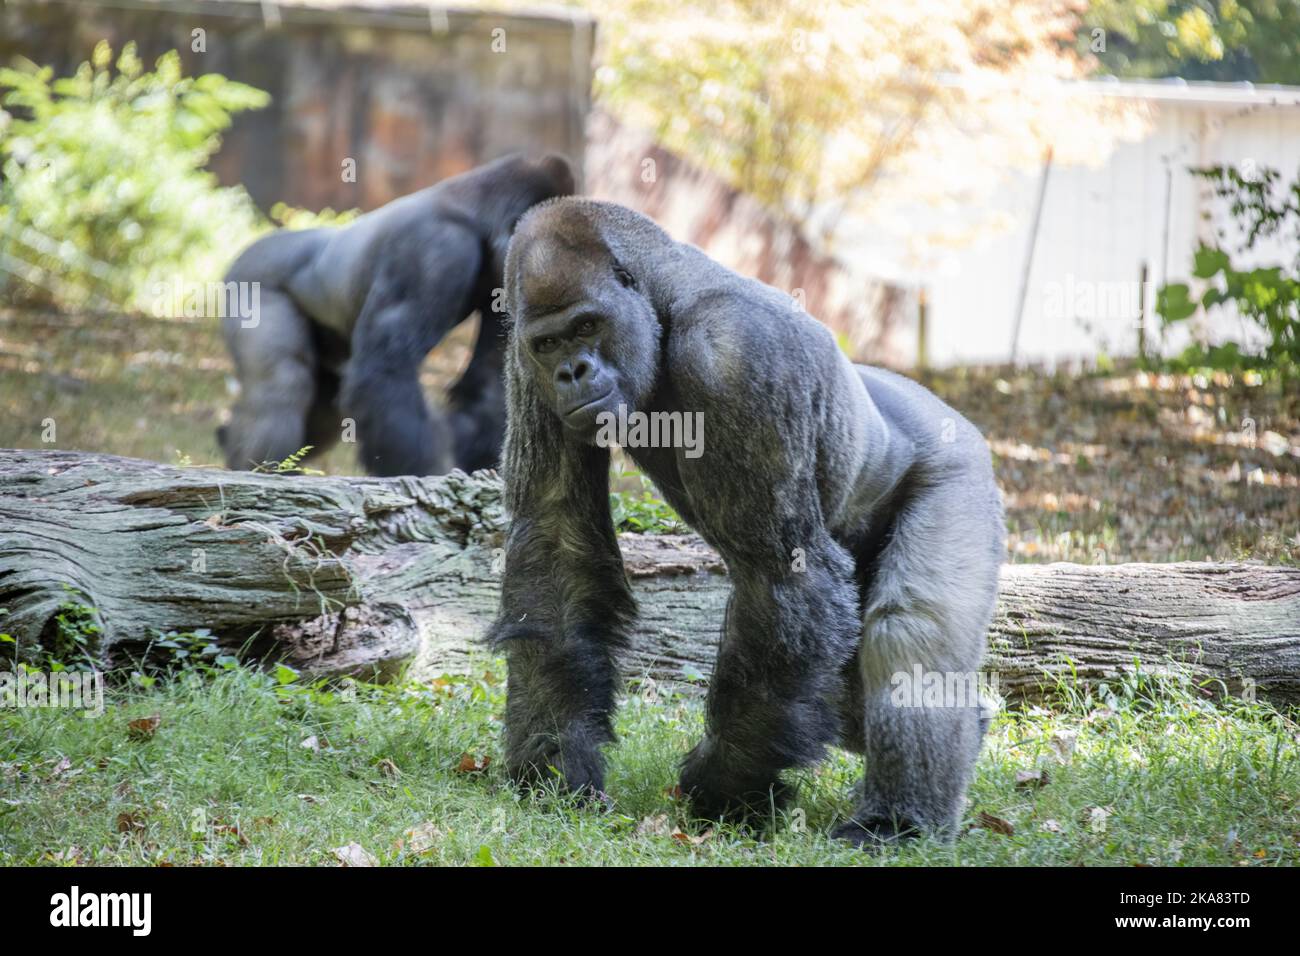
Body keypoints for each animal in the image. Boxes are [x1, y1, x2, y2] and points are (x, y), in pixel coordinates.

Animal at [217, 153, 575, 476]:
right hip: (251, 280)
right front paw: (430, 475)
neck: (477, 209)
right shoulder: (434, 247)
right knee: (281, 386)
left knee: (323, 414)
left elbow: (486, 380)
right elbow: (387, 368)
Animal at [489, 197, 1005, 845]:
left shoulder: (733, 352)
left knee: (909, 632)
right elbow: (555, 535)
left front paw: (723, 785)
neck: (665, 301)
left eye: (587, 327)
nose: (573, 371)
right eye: (550, 343)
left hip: (959, 465)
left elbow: (779, 575)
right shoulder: (523, 363)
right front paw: (557, 761)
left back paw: (898, 821)